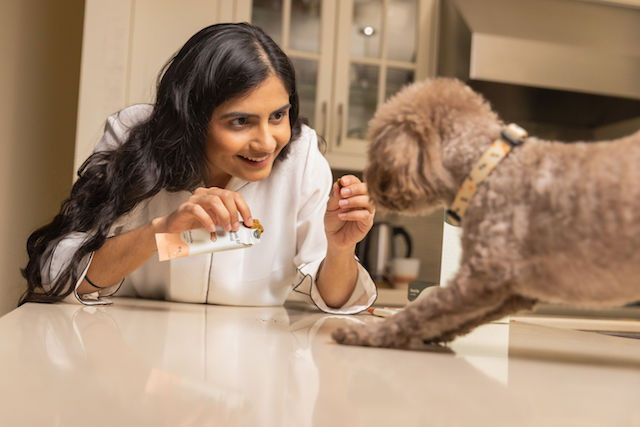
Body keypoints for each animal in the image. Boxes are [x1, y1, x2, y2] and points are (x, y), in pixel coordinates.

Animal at [332, 78, 640, 350]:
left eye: (376, 142)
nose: (368, 180)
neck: (487, 166)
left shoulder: (483, 276)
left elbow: (422, 311)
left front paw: (364, 335)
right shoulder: (512, 290)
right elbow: (456, 318)